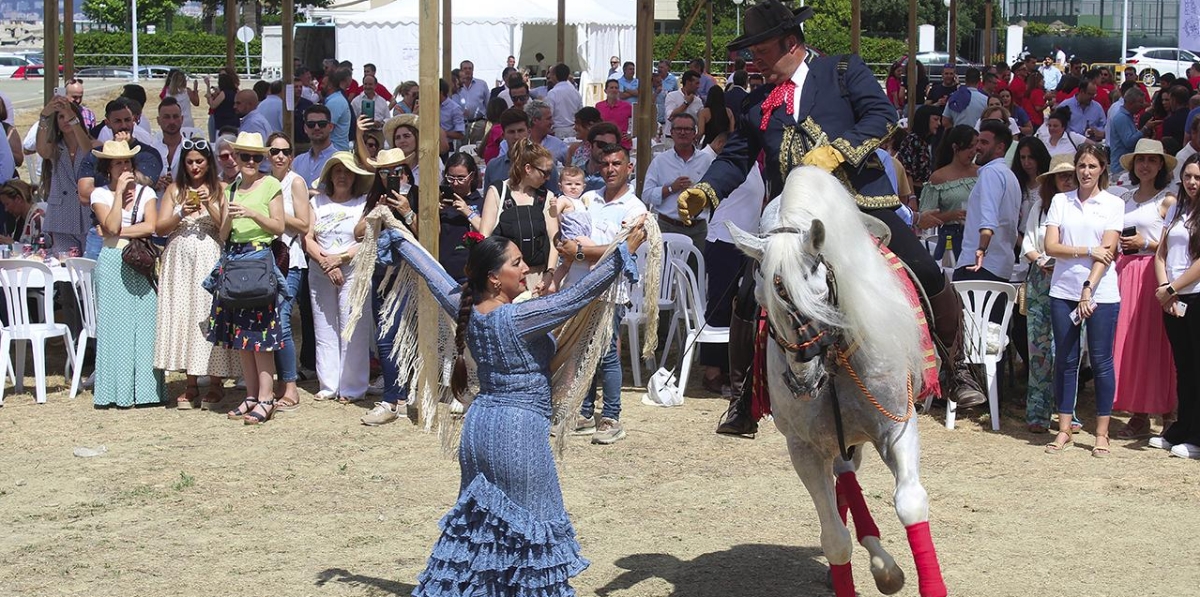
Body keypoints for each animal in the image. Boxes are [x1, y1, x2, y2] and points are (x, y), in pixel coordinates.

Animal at [729, 165, 945, 597]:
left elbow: (910, 503)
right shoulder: (805, 448)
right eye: (763, 302)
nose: (802, 381)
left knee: (848, 476)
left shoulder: (897, 428)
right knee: (844, 478)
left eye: (820, 295)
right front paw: (873, 567)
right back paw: (881, 564)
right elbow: (835, 540)